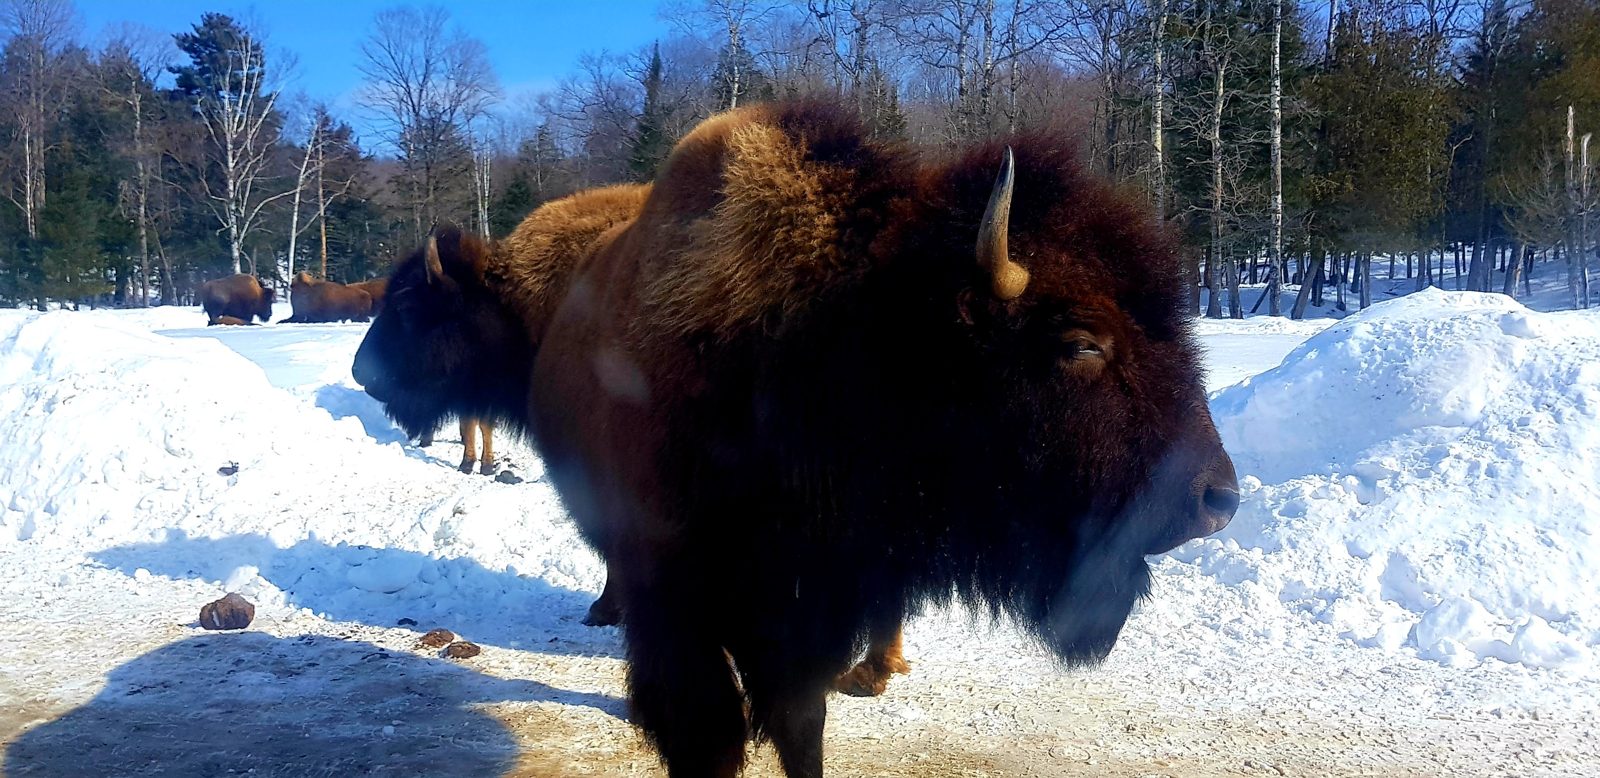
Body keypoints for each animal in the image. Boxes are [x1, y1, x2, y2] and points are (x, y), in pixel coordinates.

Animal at [520, 102, 1238, 777]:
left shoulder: (812, 612)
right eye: (1081, 342)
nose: (1218, 501)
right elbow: (711, 734)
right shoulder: (680, 609)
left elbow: (799, 724)